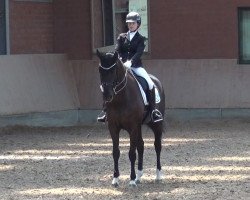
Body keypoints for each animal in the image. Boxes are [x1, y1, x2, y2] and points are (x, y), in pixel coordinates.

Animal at [96, 49, 165, 186]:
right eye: (100, 70)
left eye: (113, 70)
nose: (107, 95)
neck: (121, 98)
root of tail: (156, 80)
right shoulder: (113, 127)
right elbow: (116, 152)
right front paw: (115, 178)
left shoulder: (132, 127)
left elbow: (132, 153)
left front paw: (131, 179)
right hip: (139, 126)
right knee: (141, 145)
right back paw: (139, 175)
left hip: (156, 125)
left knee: (157, 146)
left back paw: (158, 175)